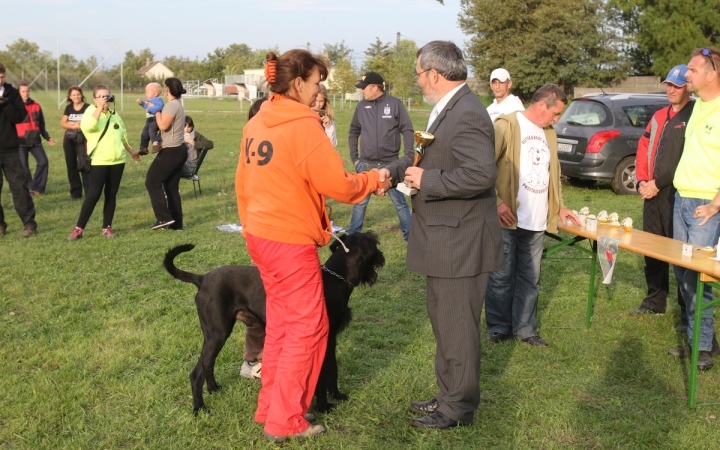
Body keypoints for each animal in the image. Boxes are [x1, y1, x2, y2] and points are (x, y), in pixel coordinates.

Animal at [165, 232, 386, 414]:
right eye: (375, 243)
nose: (382, 256)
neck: (335, 279)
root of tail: (202, 279)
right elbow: (321, 376)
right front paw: (323, 407)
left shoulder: (330, 340)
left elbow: (333, 369)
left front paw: (337, 396)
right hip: (217, 334)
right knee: (197, 372)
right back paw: (199, 408)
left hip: (216, 335)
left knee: (207, 364)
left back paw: (214, 389)